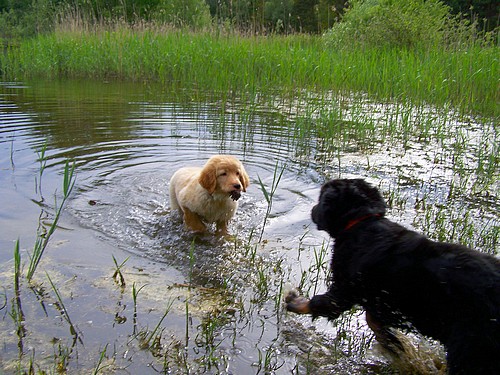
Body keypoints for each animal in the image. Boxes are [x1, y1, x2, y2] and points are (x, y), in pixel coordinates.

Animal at [286, 179, 500, 375]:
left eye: (321, 199)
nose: (313, 209)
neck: (362, 223)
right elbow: (375, 322)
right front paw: (397, 347)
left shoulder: (344, 289)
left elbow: (321, 303)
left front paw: (294, 302)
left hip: (469, 344)